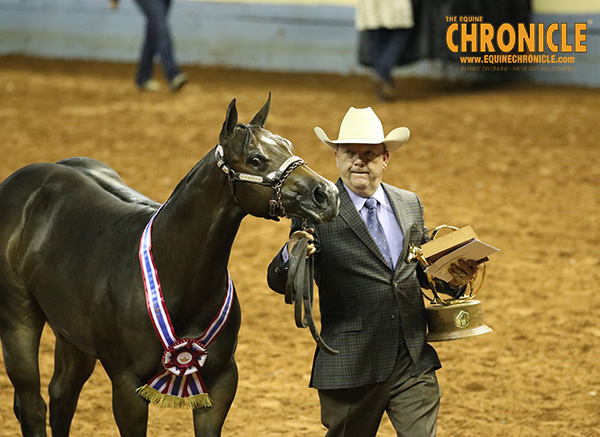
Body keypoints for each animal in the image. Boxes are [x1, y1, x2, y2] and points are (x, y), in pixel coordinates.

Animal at [0, 97, 340, 434]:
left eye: (287, 144)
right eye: (256, 159)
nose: (327, 194)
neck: (175, 274)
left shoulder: (222, 381)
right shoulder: (127, 386)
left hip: (71, 335)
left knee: (62, 397)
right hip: (18, 320)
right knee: (33, 405)